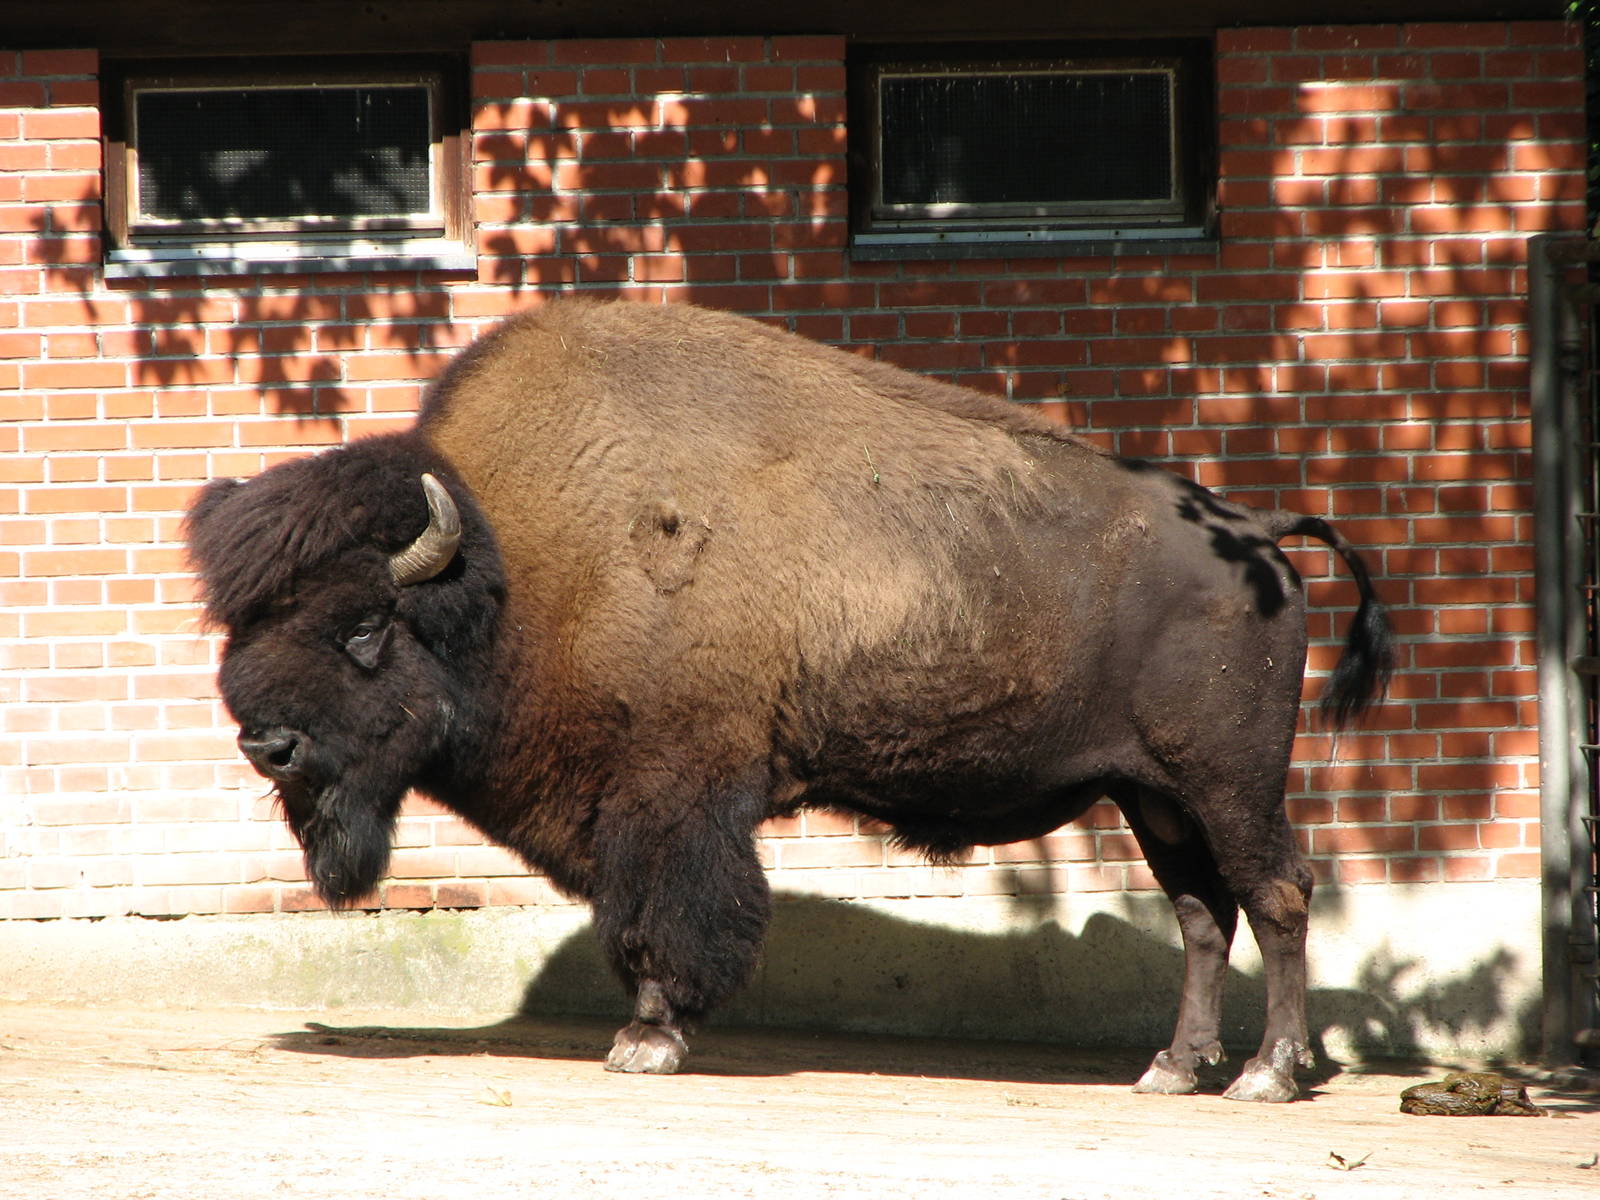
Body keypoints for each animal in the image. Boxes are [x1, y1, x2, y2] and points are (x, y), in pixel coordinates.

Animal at [187, 299, 1391, 1102]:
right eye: (243, 626)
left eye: (362, 628)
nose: (268, 745)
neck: (513, 572)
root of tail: (1253, 533)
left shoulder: (669, 796)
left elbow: (660, 919)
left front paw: (648, 1043)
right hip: (1153, 797)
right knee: (1201, 913)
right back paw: (1173, 1070)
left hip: (1227, 781)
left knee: (1277, 893)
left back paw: (1269, 1075)